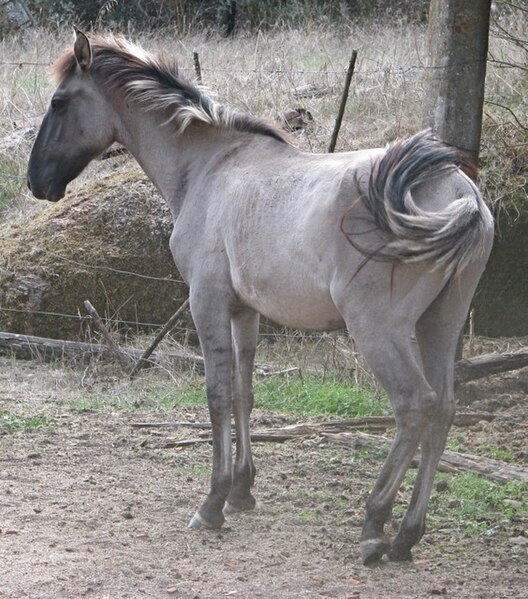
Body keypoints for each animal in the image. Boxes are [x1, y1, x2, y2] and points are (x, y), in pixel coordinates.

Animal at [25, 29, 496, 568]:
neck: (208, 167)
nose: (35, 181)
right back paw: (406, 537)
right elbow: (244, 393)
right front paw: (242, 491)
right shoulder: (244, 310)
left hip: (380, 330)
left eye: (59, 102)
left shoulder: (206, 302)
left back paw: (375, 525)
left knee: (415, 405)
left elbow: (216, 395)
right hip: (440, 324)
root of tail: (459, 192)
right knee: (444, 411)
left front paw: (212, 502)